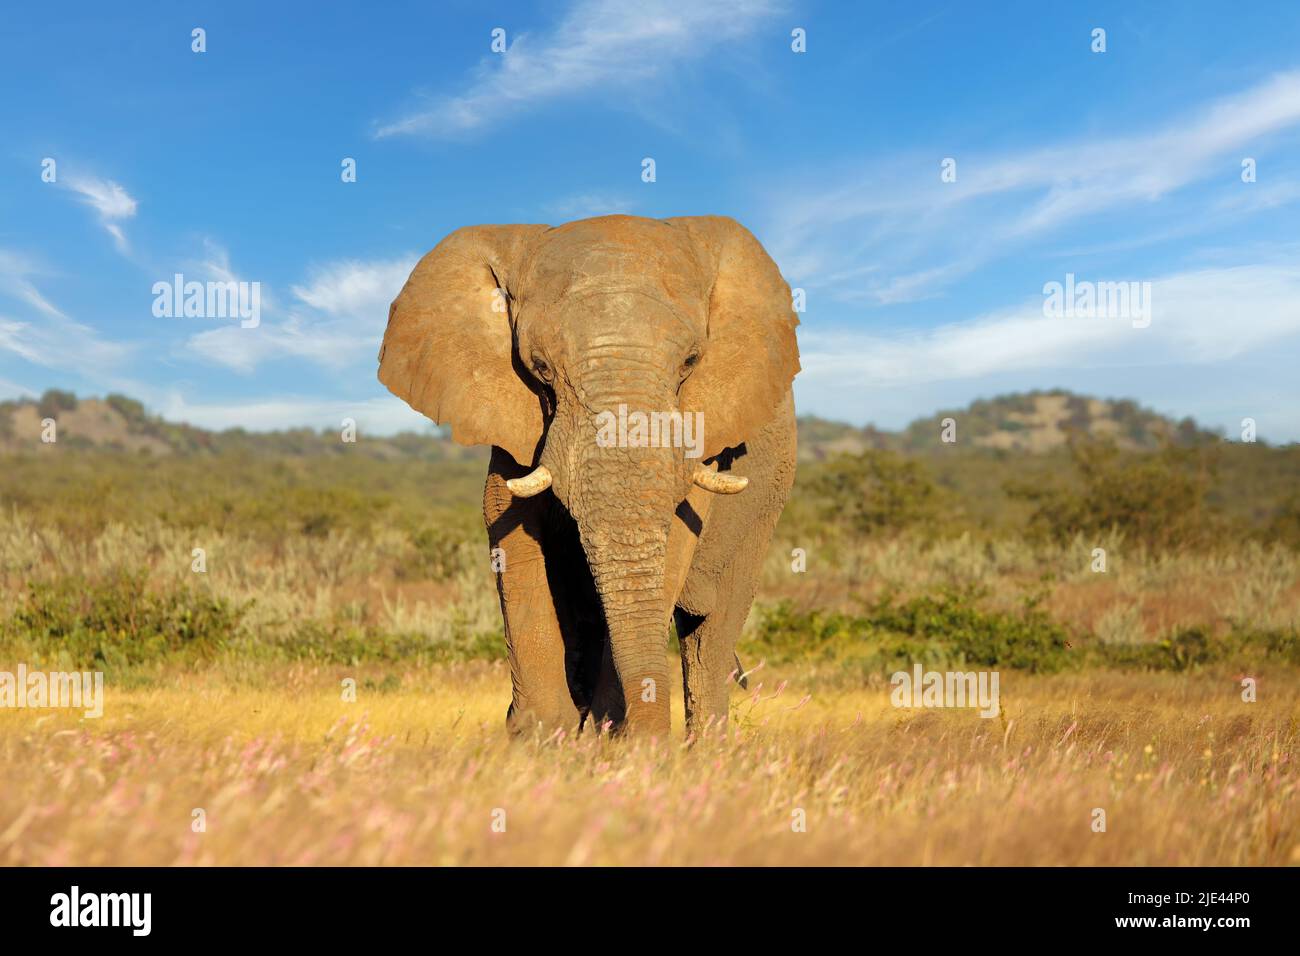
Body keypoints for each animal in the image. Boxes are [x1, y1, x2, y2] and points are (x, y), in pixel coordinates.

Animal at [377, 214, 795, 738]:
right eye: (539, 368)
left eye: (690, 363)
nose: (648, 739)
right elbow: (509, 525)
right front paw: (539, 738)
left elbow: (675, 540)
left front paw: (608, 741)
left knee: (710, 635)